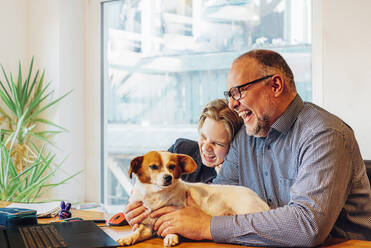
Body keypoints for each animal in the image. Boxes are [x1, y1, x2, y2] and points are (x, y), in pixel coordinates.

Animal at [118, 151, 270, 246]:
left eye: (172, 167)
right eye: (153, 167)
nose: (168, 177)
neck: (158, 194)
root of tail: (258, 198)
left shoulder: (174, 215)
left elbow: (172, 228)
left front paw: (171, 236)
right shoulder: (147, 227)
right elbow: (138, 231)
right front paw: (128, 237)